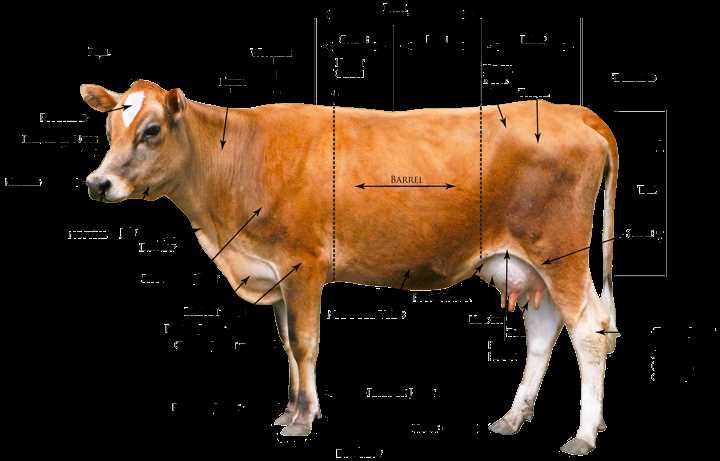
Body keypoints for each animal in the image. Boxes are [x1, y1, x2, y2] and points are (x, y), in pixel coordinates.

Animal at [80, 79, 618, 455]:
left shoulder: (302, 265)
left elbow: (305, 344)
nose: (97, 183)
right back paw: (512, 418)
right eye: (109, 130)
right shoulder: (276, 275)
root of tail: (567, 111)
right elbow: (288, 346)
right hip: (528, 262)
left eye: (151, 130)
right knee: (544, 330)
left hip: (561, 252)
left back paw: (584, 435)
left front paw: (303, 420)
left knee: (589, 330)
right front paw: (289, 410)